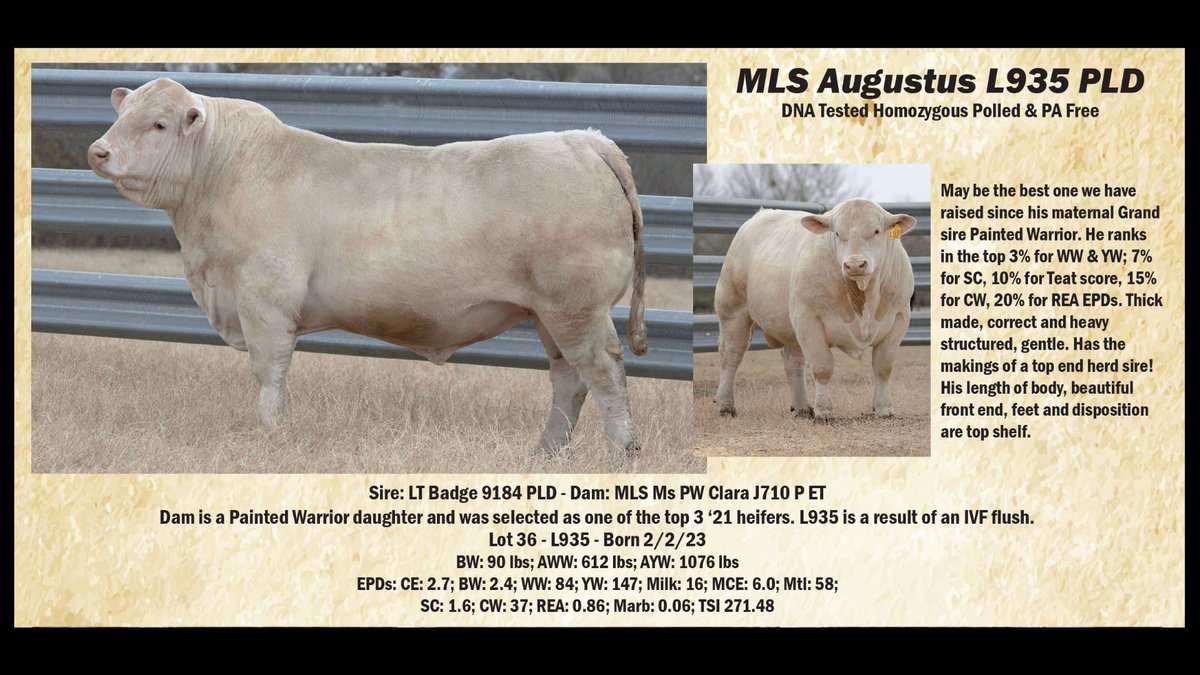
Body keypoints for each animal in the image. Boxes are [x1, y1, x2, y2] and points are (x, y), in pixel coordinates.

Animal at [87, 78, 649, 454]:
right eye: (121, 114)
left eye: (158, 123)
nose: (98, 150)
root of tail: (583, 138)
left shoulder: (264, 297)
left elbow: (270, 372)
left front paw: (272, 432)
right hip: (551, 313)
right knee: (569, 380)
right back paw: (545, 453)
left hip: (575, 307)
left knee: (603, 372)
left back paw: (621, 452)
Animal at [713, 199, 915, 421]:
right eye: (837, 233)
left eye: (877, 231)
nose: (854, 265)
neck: (861, 297)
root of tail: (761, 214)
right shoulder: (809, 320)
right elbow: (822, 367)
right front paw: (824, 411)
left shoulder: (898, 319)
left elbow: (883, 367)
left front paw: (884, 408)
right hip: (733, 309)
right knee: (731, 355)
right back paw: (725, 405)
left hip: (789, 325)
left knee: (793, 361)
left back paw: (802, 407)